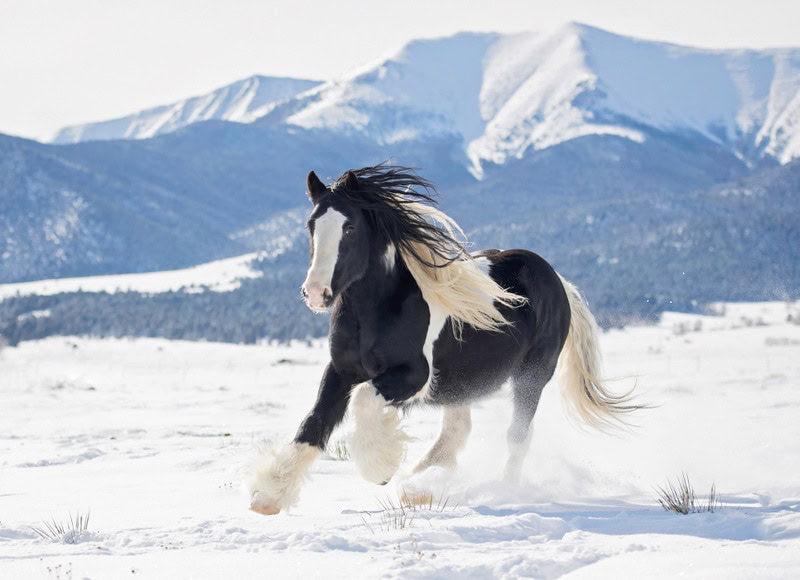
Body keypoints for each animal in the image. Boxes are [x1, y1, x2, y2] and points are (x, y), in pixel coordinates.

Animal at [247, 165, 638, 515]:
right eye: (310, 225)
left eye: (350, 227)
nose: (316, 293)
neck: (378, 310)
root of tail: (558, 281)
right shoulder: (341, 371)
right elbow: (313, 424)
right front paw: (268, 496)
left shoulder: (414, 375)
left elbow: (364, 400)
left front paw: (380, 469)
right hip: (460, 383)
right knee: (457, 431)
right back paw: (421, 486)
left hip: (532, 376)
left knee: (518, 435)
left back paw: (498, 489)